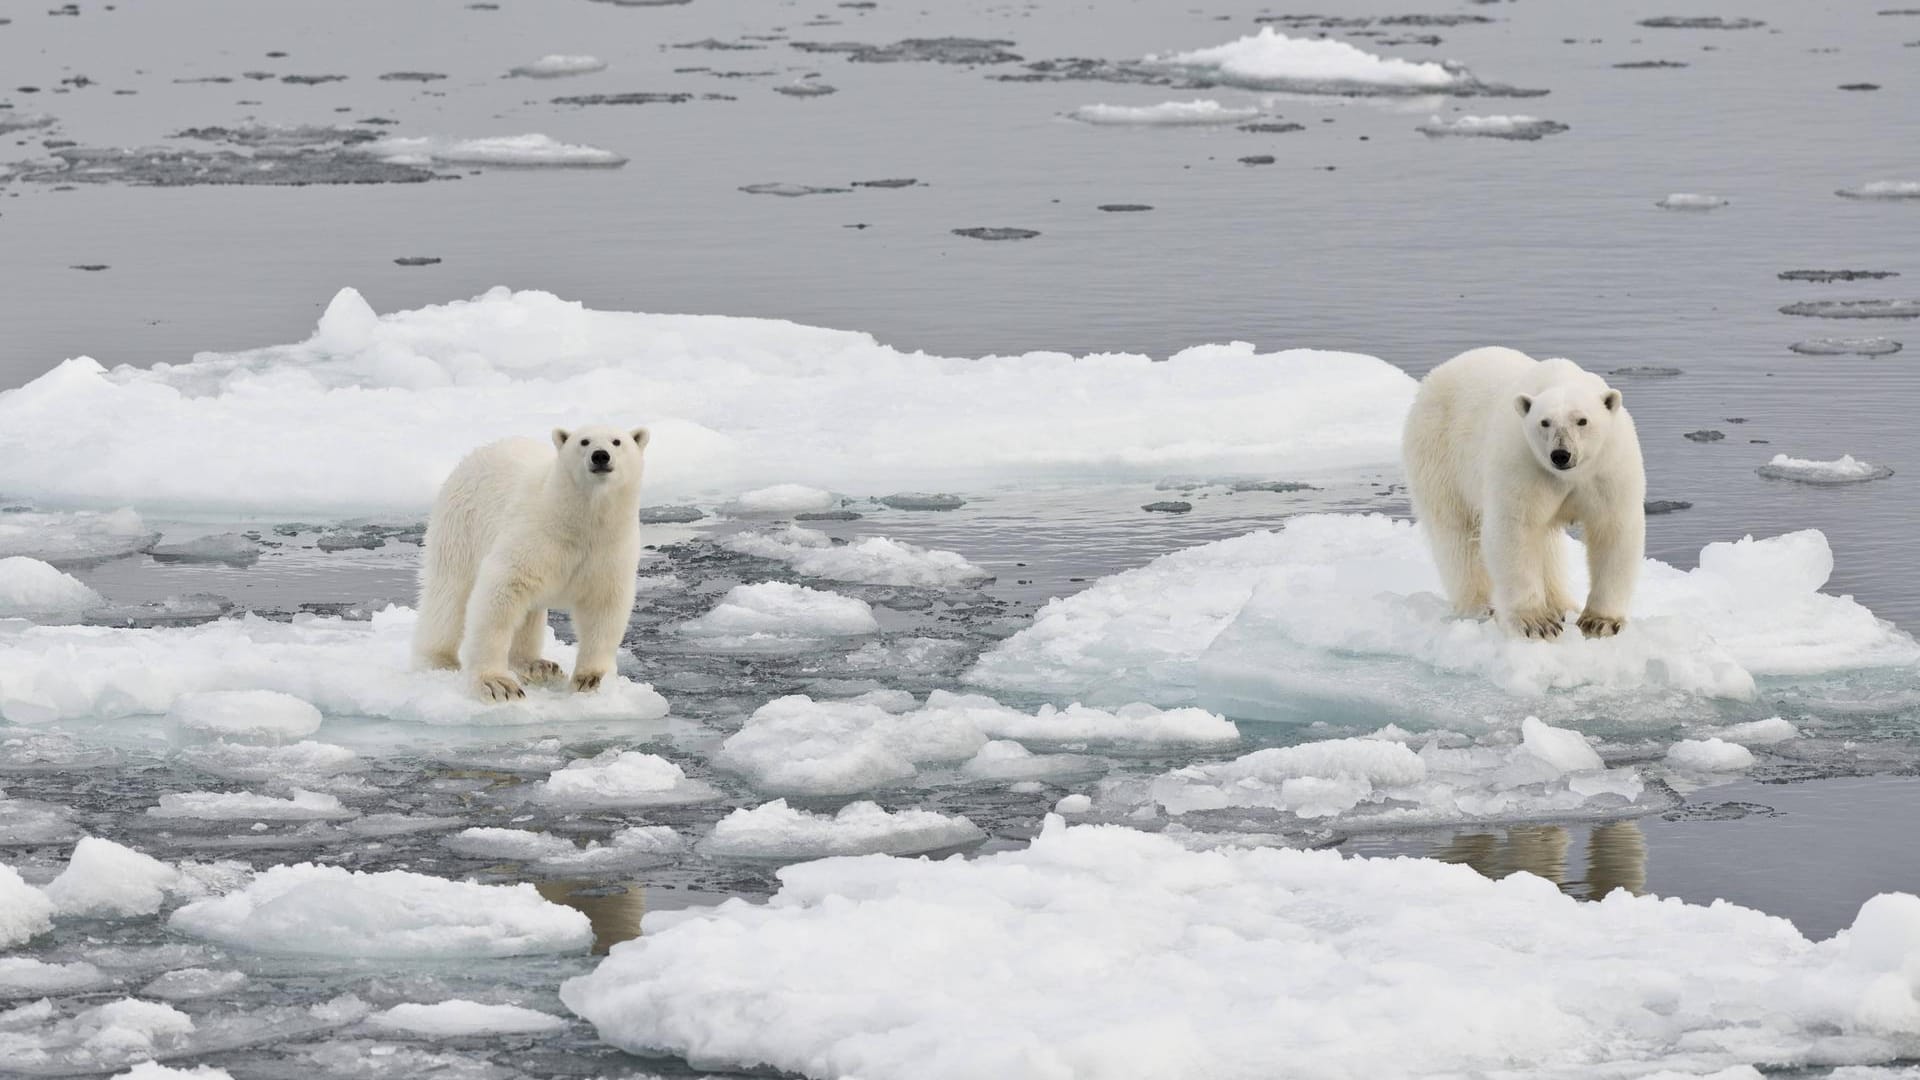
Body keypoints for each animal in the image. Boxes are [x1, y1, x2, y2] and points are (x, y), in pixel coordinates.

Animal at [412, 424, 652, 703]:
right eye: (584, 441)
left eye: (617, 441)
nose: (600, 456)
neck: (580, 522)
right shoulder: (534, 534)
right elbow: (500, 591)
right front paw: (496, 683)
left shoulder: (608, 550)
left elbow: (604, 606)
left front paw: (591, 680)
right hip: (460, 525)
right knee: (448, 594)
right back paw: (439, 660)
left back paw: (538, 665)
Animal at [1397, 343, 1651, 634]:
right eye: (1545, 422)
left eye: (1582, 420)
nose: (1561, 455)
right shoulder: (1523, 463)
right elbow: (1515, 528)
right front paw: (1537, 622)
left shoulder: (1609, 469)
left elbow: (1613, 529)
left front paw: (1599, 622)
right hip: (1438, 453)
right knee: (1455, 533)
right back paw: (1481, 605)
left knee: (1547, 546)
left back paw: (1562, 605)